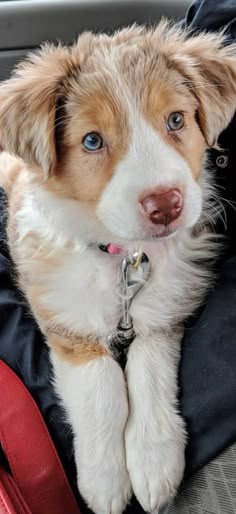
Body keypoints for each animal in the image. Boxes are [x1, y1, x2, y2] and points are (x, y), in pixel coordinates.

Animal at [0, 22, 236, 512]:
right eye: (92, 140)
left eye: (176, 120)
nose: (166, 205)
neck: (125, 256)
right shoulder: (67, 322)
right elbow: (103, 387)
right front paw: (105, 481)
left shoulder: (165, 311)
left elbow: (147, 369)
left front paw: (153, 460)